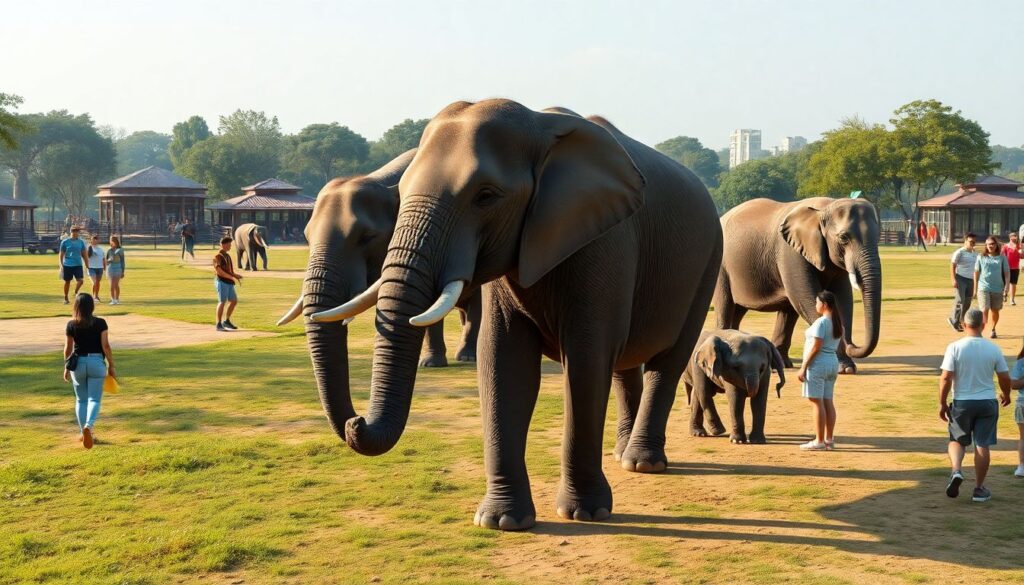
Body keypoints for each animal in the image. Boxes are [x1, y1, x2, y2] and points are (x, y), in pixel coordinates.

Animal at [276, 148, 481, 408]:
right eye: (306, 238)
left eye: (367, 237)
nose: (358, 416)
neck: (381, 180)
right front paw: (430, 364)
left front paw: (435, 362)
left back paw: (467, 356)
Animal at [307, 99, 723, 531]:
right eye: (401, 195)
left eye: (486, 196)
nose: (355, 423)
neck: (539, 123)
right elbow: (502, 360)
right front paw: (501, 520)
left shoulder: (605, 241)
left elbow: (587, 360)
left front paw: (585, 513)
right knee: (625, 365)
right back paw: (623, 455)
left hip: (709, 259)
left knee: (665, 364)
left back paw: (643, 463)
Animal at [714, 197, 881, 374]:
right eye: (844, 238)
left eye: (878, 237)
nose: (851, 345)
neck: (825, 206)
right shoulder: (790, 254)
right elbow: (804, 297)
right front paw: (845, 368)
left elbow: (842, 298)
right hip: (721, 266)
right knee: (725, 305)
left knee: (741, 309)